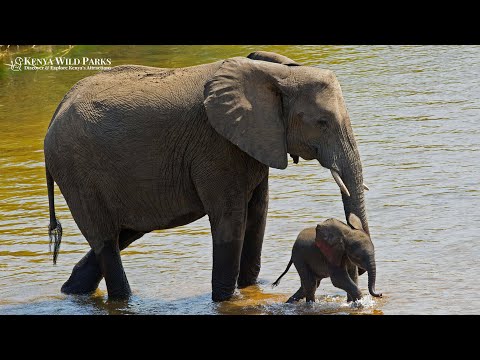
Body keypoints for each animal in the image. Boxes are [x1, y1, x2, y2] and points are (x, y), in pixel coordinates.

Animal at [44, 50, 368, 302]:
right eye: (322, 122)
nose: (358, 271)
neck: (277, 73)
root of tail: (56, 111)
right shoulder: (217, 146)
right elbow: (231, 219)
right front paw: (226, 299)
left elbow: (258, 214)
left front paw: (249, 291)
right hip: (77, 172)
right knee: (106, 240)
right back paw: (119, 297)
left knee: (124, 231)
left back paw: (72, 291)